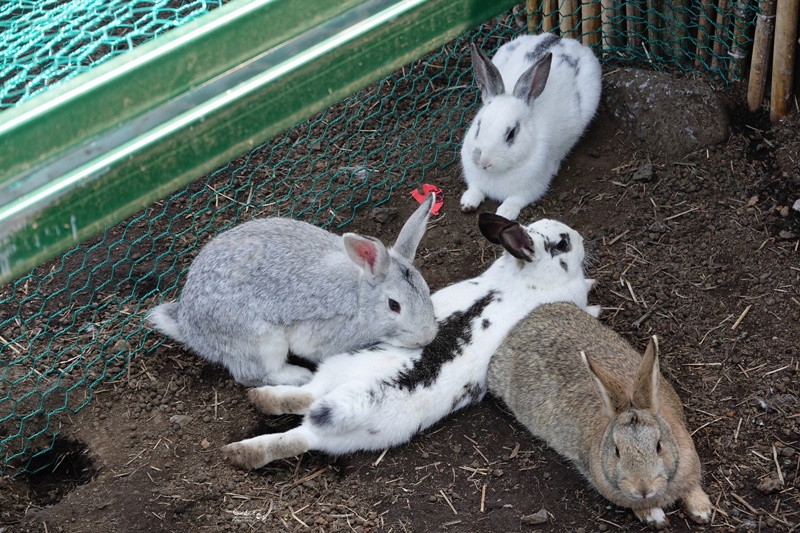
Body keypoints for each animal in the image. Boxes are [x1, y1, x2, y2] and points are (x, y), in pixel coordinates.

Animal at [147, 193, 440, 384]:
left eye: (426, 292)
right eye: (394, 305)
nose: (425, 337)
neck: (360, 298)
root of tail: (188, 328)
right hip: (261, 340)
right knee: (253, 375)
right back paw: (301, 375)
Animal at [222, 214, 596, 468]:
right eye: (563, 242)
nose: (581, 237)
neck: (523, 279)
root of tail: (346, 402)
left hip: (334, 378)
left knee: (301, 406)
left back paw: (250, 424)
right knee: (299, 435)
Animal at [462, 32, 600, 218]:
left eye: (511, 134)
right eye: (478, 125)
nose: (483, 162)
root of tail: (560, 39)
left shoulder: (528, 190)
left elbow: (514, 200)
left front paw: (504, 213)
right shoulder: (474, 180)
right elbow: (475, 189)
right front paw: (467, 203)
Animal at [488, 302, 712, 524]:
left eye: (658, 446)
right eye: (617, 451)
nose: (643, 489)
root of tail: (523, 324)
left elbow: (692, 487)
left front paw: (702, 510)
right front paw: (654, 516)